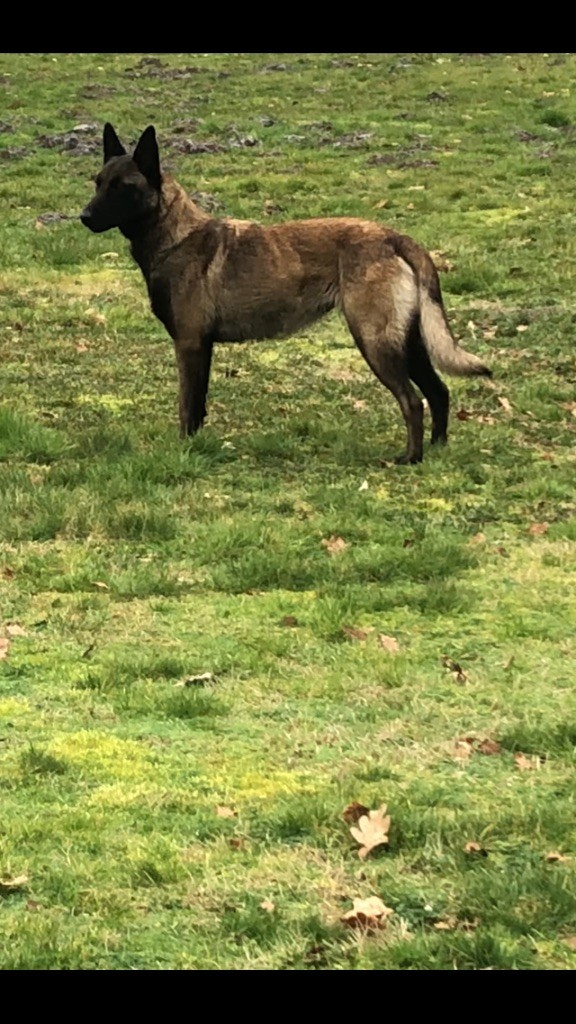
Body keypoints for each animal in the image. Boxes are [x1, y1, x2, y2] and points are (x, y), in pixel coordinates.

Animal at [79, 123, 487, 464]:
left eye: (122, 187)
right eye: (98, 182)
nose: (83, 217)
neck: (175, 236)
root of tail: (394, 237)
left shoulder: (190, 345)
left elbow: (187, 407)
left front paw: (184, 450)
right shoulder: (203, 348)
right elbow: (200, 406)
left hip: (375, 342)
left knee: (413, 401)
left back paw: (411, 458)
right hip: (408, 342)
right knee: (439, 391)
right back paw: (437, 449)